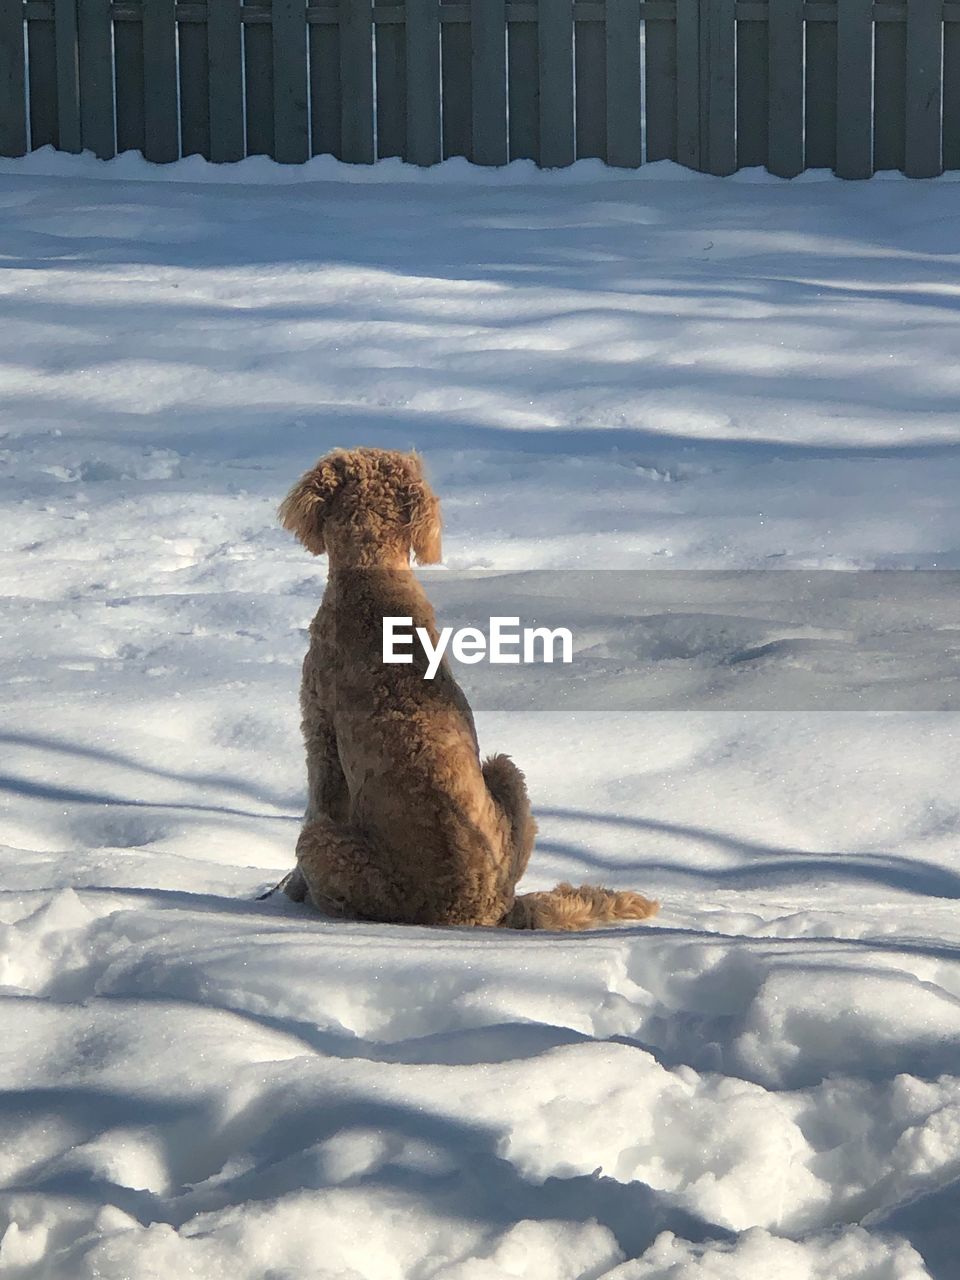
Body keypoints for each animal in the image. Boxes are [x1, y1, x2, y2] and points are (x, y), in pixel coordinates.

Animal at [273, 450, 660, 931]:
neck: (371, 580)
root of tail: (486, 910)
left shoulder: (321, 737)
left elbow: (317, 801)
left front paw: (289, 891)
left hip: (327, 845)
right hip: (505, 775)